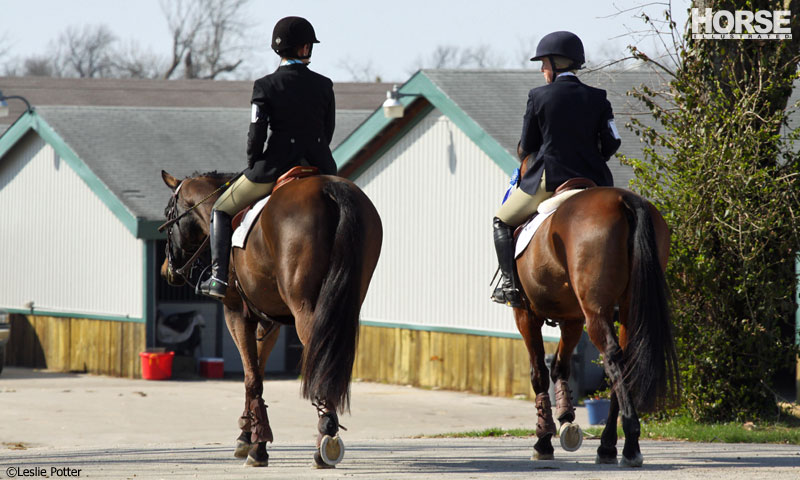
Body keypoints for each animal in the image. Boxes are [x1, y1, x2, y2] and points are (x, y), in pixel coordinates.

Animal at [160, 170, 384, 468]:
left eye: (167, 213)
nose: (167, 270)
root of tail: (330, 189)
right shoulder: (269, 321)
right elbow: (258, 372)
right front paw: (249, 435)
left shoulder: (236, 313)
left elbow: (250, 376)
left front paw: (256, 445)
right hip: (344, 306)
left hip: (306, 309)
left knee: (320, 359)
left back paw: (325, 439)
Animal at [512, 156, 676, 466]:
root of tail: (625, 200)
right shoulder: (573, 318)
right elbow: (560, 366)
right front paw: (565, 418)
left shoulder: (526, 314)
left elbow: (539, 371)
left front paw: (544, 438)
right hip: (626, 310)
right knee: (625, 360)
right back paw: (611, 445)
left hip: (596, 311)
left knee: (611, 356)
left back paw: (630, 440)